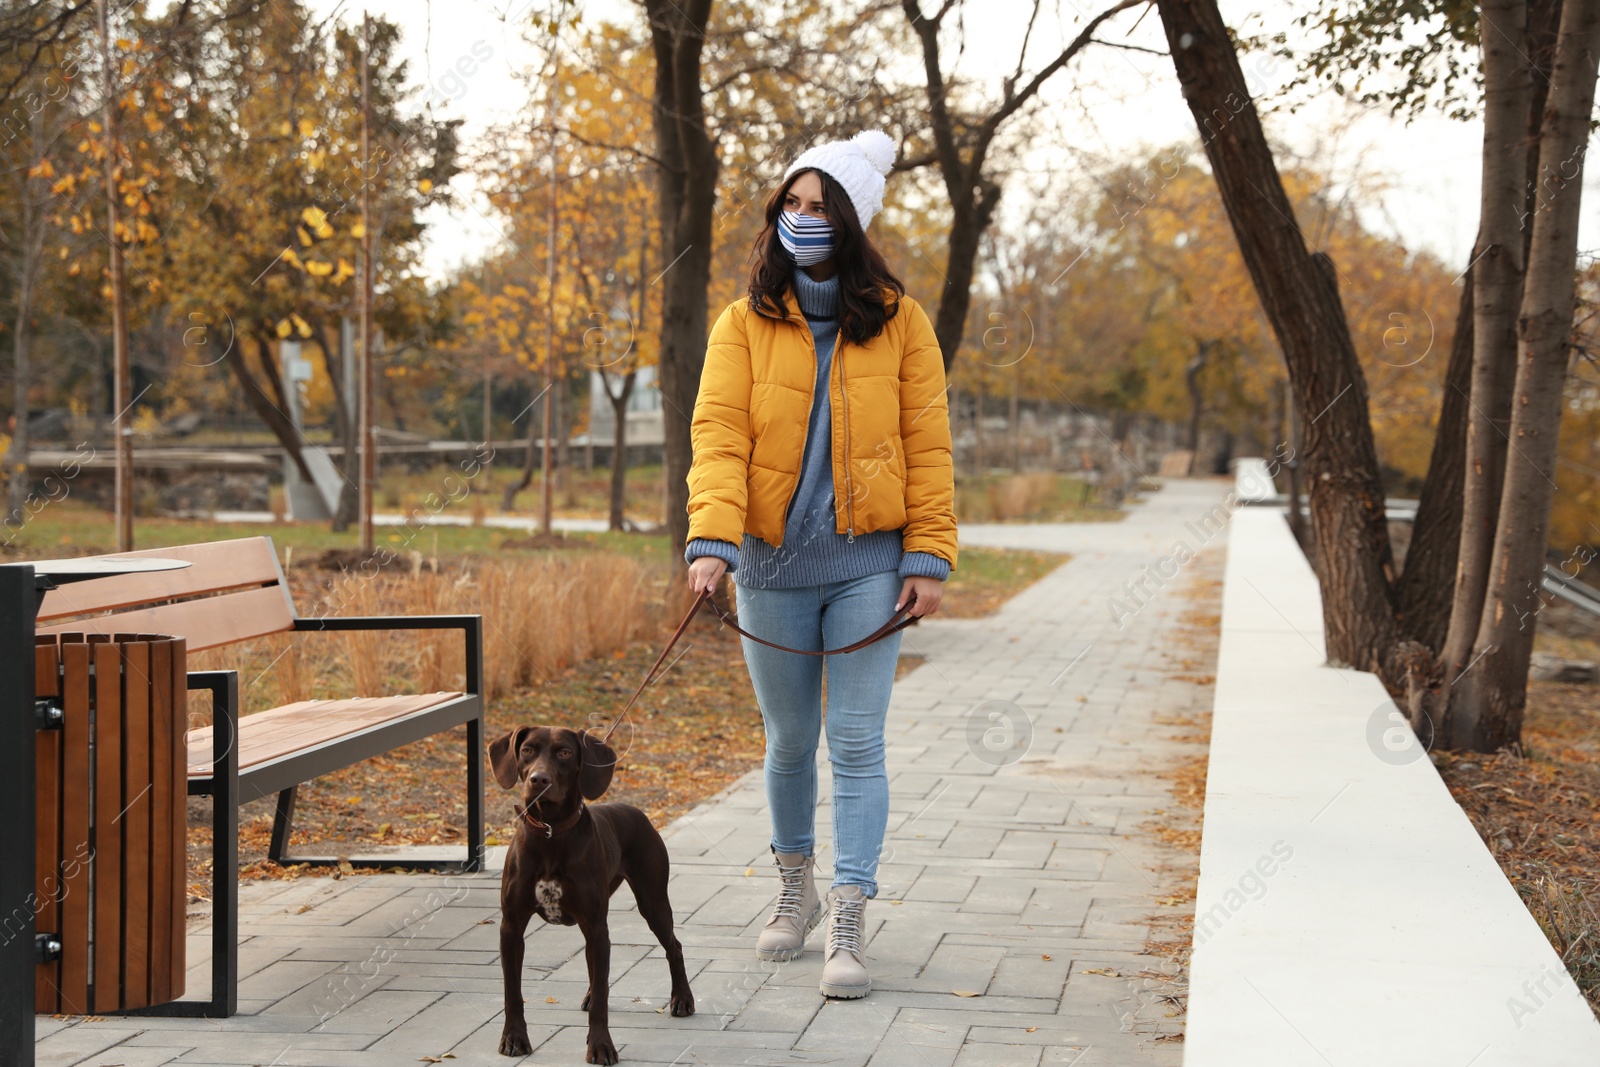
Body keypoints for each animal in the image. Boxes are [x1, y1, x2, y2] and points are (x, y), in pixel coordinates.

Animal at [483, 723, 691, 1062]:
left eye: (565, 753)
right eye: (527, 750)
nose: (538, 780)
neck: (551, 832)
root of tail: (638, 812)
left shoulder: (596, 925)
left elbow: (603, 998)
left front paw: (601, 1046)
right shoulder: (511, 927)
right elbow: (512, 991)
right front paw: (514, 1038)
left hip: (653, 902)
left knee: (674, 946)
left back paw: (683, 999)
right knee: (599, 971)